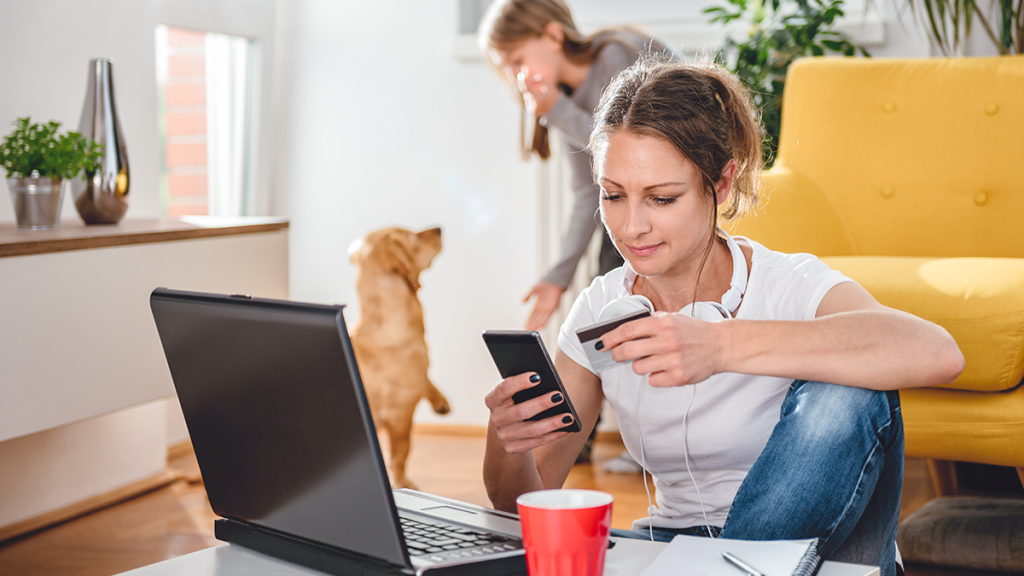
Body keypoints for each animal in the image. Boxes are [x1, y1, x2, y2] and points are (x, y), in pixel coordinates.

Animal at [348, 226, 448, 485]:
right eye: (414, 238)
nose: (439, 228)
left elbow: (428, 380)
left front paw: (440, 401)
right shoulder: (400, 415)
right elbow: (400, 455)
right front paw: (401, 482)